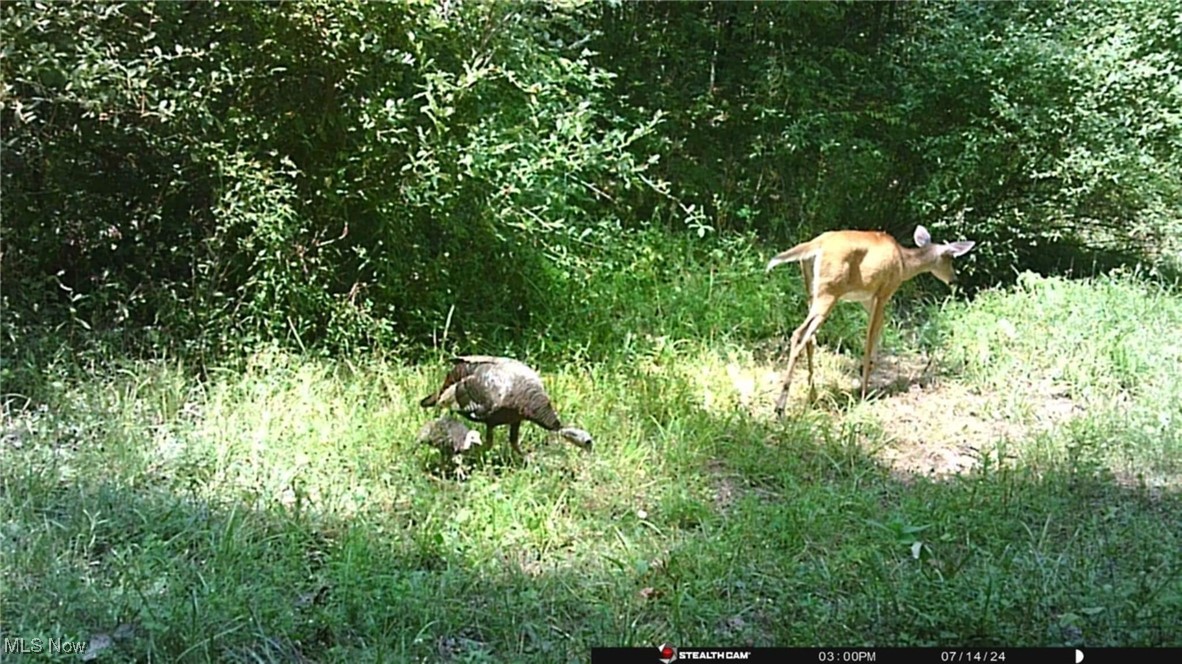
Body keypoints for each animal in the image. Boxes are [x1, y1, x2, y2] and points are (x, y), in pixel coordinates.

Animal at [765, 224, 978, 415]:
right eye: (950, 258)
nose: (954, 280)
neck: (903, 262)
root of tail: (815, 244)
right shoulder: (884, 292)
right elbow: (869, 338)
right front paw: (864, 391)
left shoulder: (867, 299)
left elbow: (877, 331)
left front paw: (866, 372)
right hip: (830, 291)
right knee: (799, 334)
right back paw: (780, 406)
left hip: (812, 291)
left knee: (809, 338)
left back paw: (813, 396)